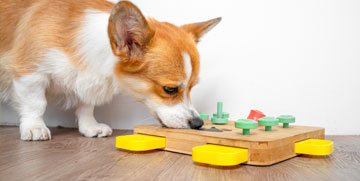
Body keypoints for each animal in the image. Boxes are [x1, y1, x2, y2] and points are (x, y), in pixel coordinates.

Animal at [0, 0, 221, 141]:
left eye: (192, 87)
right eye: (170, 89)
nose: (198, 123)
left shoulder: (88, 81)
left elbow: (86, 106)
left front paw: (90, 127)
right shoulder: (29, 73)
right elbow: (36, 104)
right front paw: (34, 127)